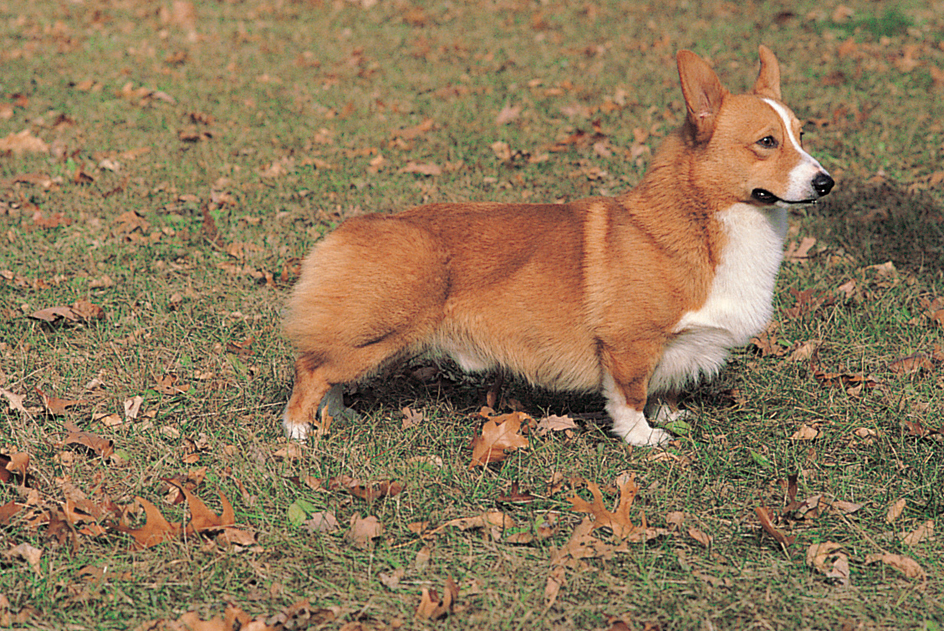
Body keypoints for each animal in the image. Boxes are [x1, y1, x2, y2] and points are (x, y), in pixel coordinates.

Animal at [280, 45, 832, 450]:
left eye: (801, 136)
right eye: (766, 142)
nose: (826, 182)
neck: (703, 219)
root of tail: (349, 229)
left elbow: (664, 387)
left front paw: (672, 415)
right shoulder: (629, 344)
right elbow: (630, 397)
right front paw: (644, 438)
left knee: (327, 371)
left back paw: (337, 416)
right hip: (379, 336)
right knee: (311, 369)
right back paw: (298, 429)